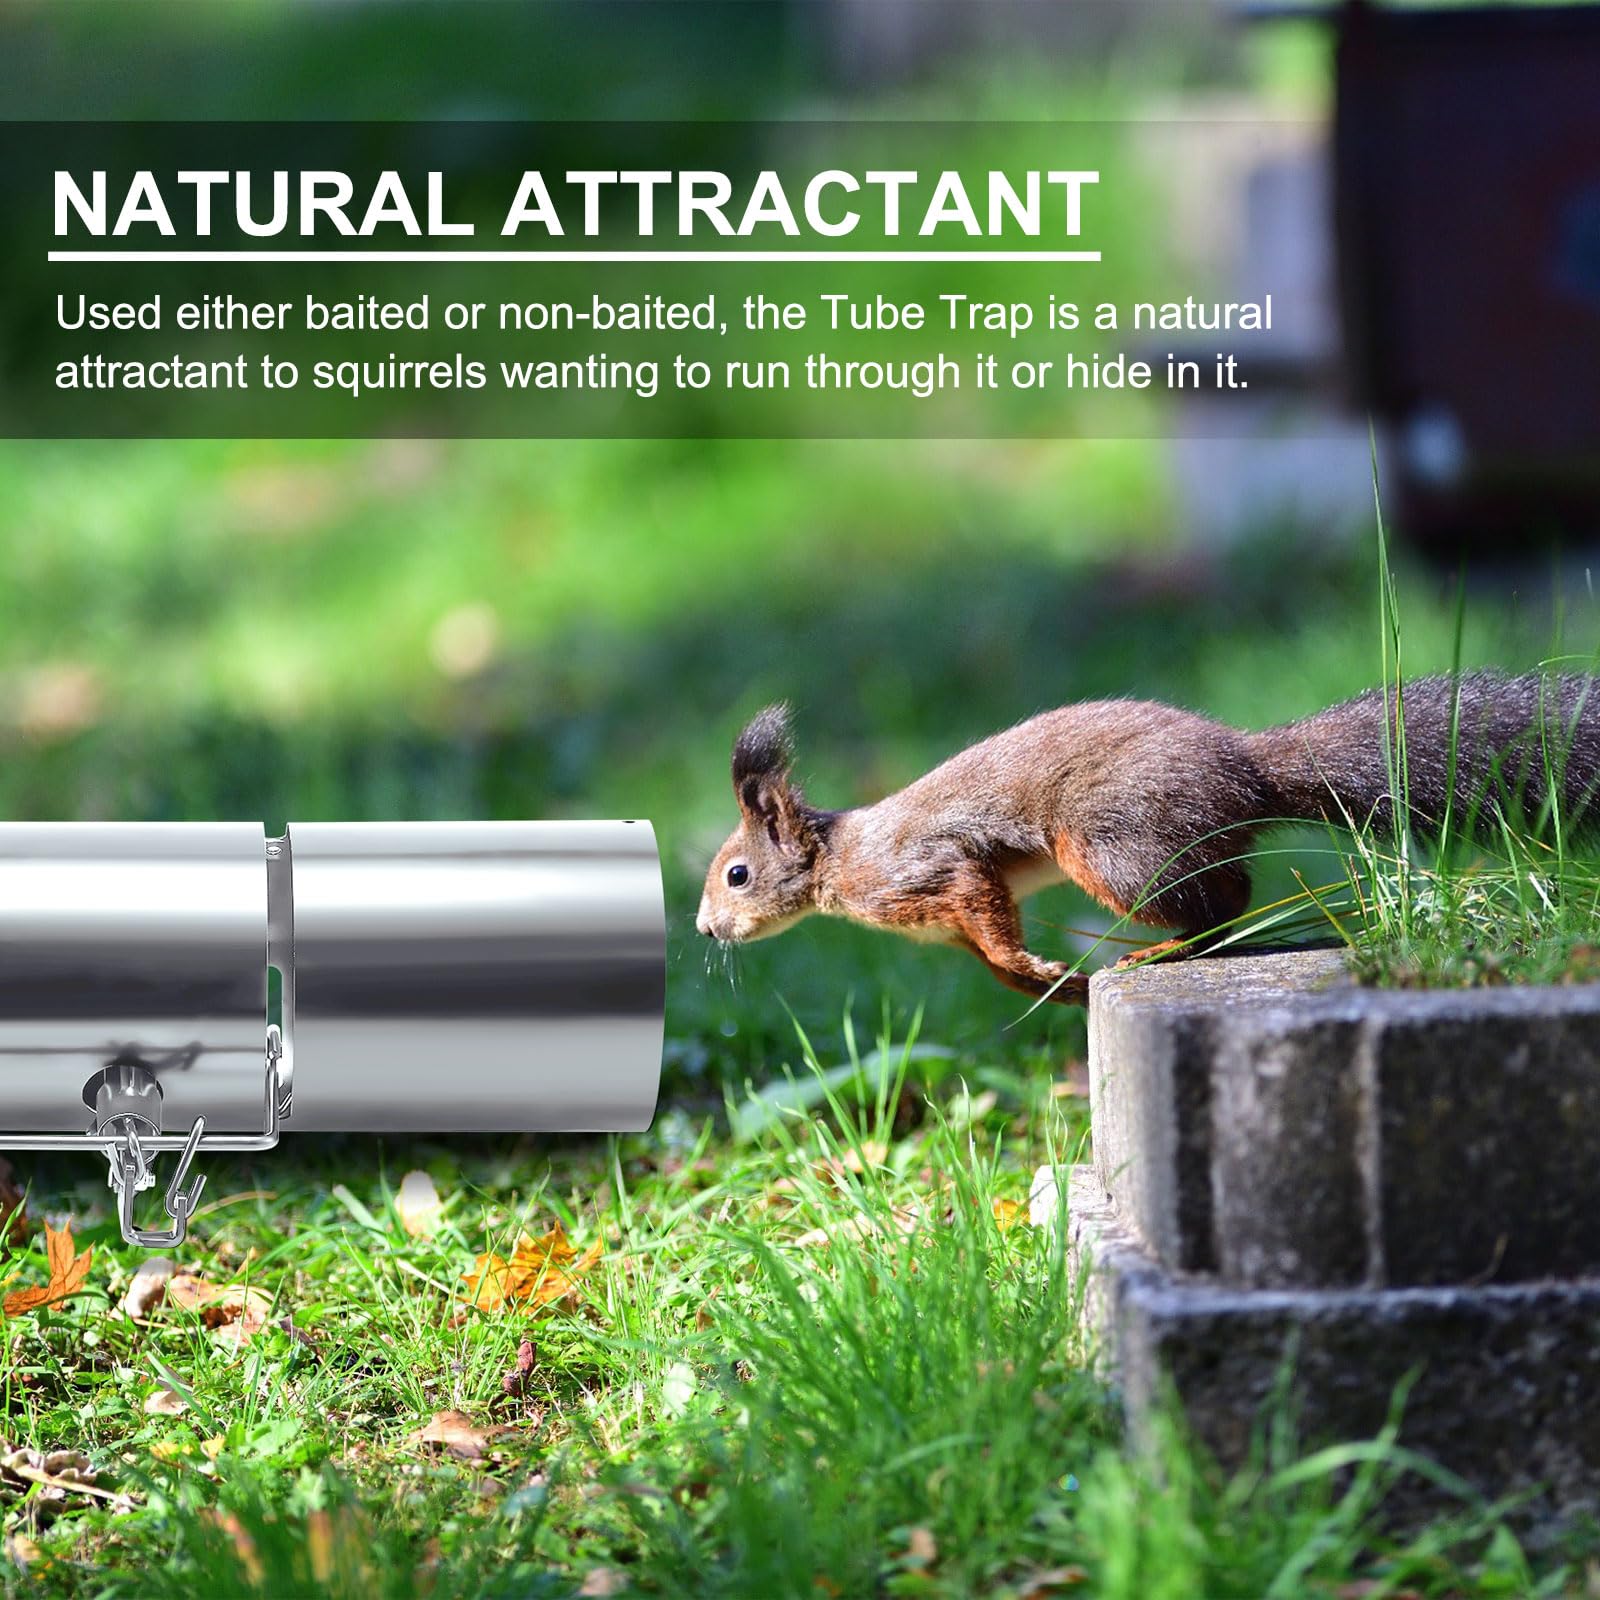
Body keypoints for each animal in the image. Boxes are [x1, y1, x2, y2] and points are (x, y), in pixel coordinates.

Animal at [696, 673, 1600, 1004]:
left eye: (737, 874)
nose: (705, 930)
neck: (839, 863)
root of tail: (1247, 767)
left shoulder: (930, 869)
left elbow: (983, 907)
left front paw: (1036, 968)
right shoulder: (945, 922)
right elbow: (985, 954)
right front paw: (1042, 984)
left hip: (1109, 843)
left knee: (1221, 901)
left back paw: (1160, 952)